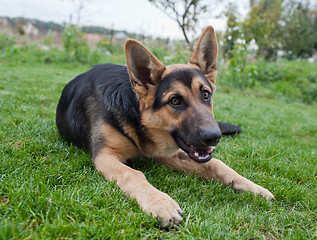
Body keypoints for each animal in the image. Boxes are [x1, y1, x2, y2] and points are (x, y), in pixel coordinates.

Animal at [56, 26, 274, 229]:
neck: (136, 116)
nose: (214, 137)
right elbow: (132, 174)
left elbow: (216, 164)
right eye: (175, 101)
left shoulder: (169, 153)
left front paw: (253, 187)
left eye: (205, 94)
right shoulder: (106, 156)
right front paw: (160, 203)